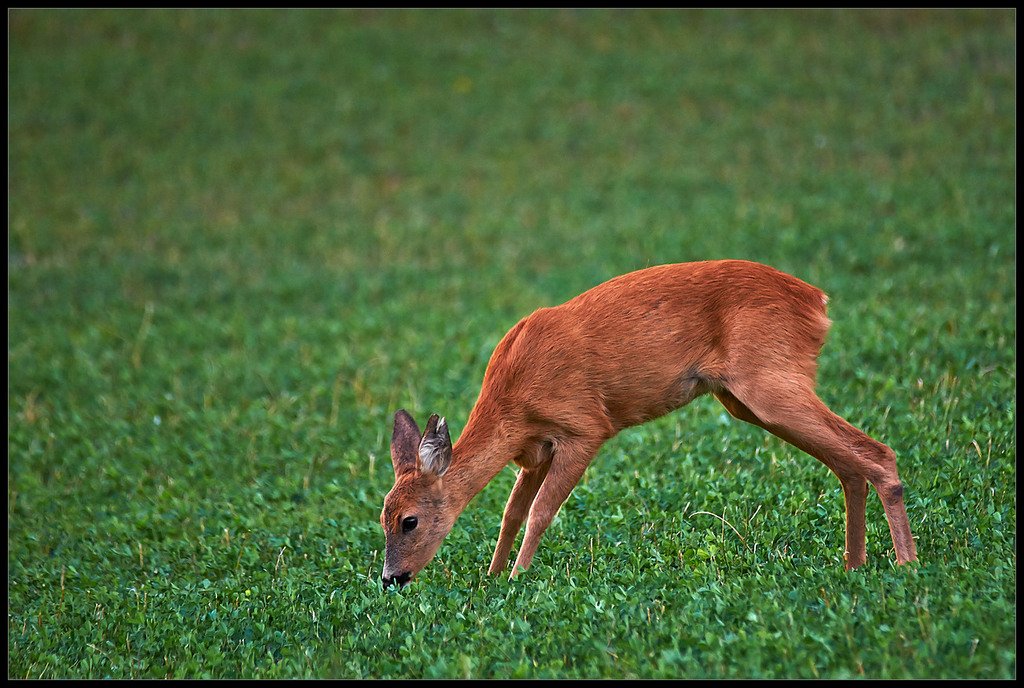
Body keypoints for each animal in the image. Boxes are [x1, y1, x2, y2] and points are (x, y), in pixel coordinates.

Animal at [378, 261, 921, 589]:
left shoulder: (584, 427)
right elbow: (511, 514)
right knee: (848, 463)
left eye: (410, 521)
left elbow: (539, 513)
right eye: (382, 518)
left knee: (876, 452)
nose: (390, 578)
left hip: (769, 380)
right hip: (747, 397)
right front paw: (493, 579)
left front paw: (516, 581)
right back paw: (854, 564)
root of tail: (817, 302)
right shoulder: (534, 451)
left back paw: (906, 564)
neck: (512, 403)